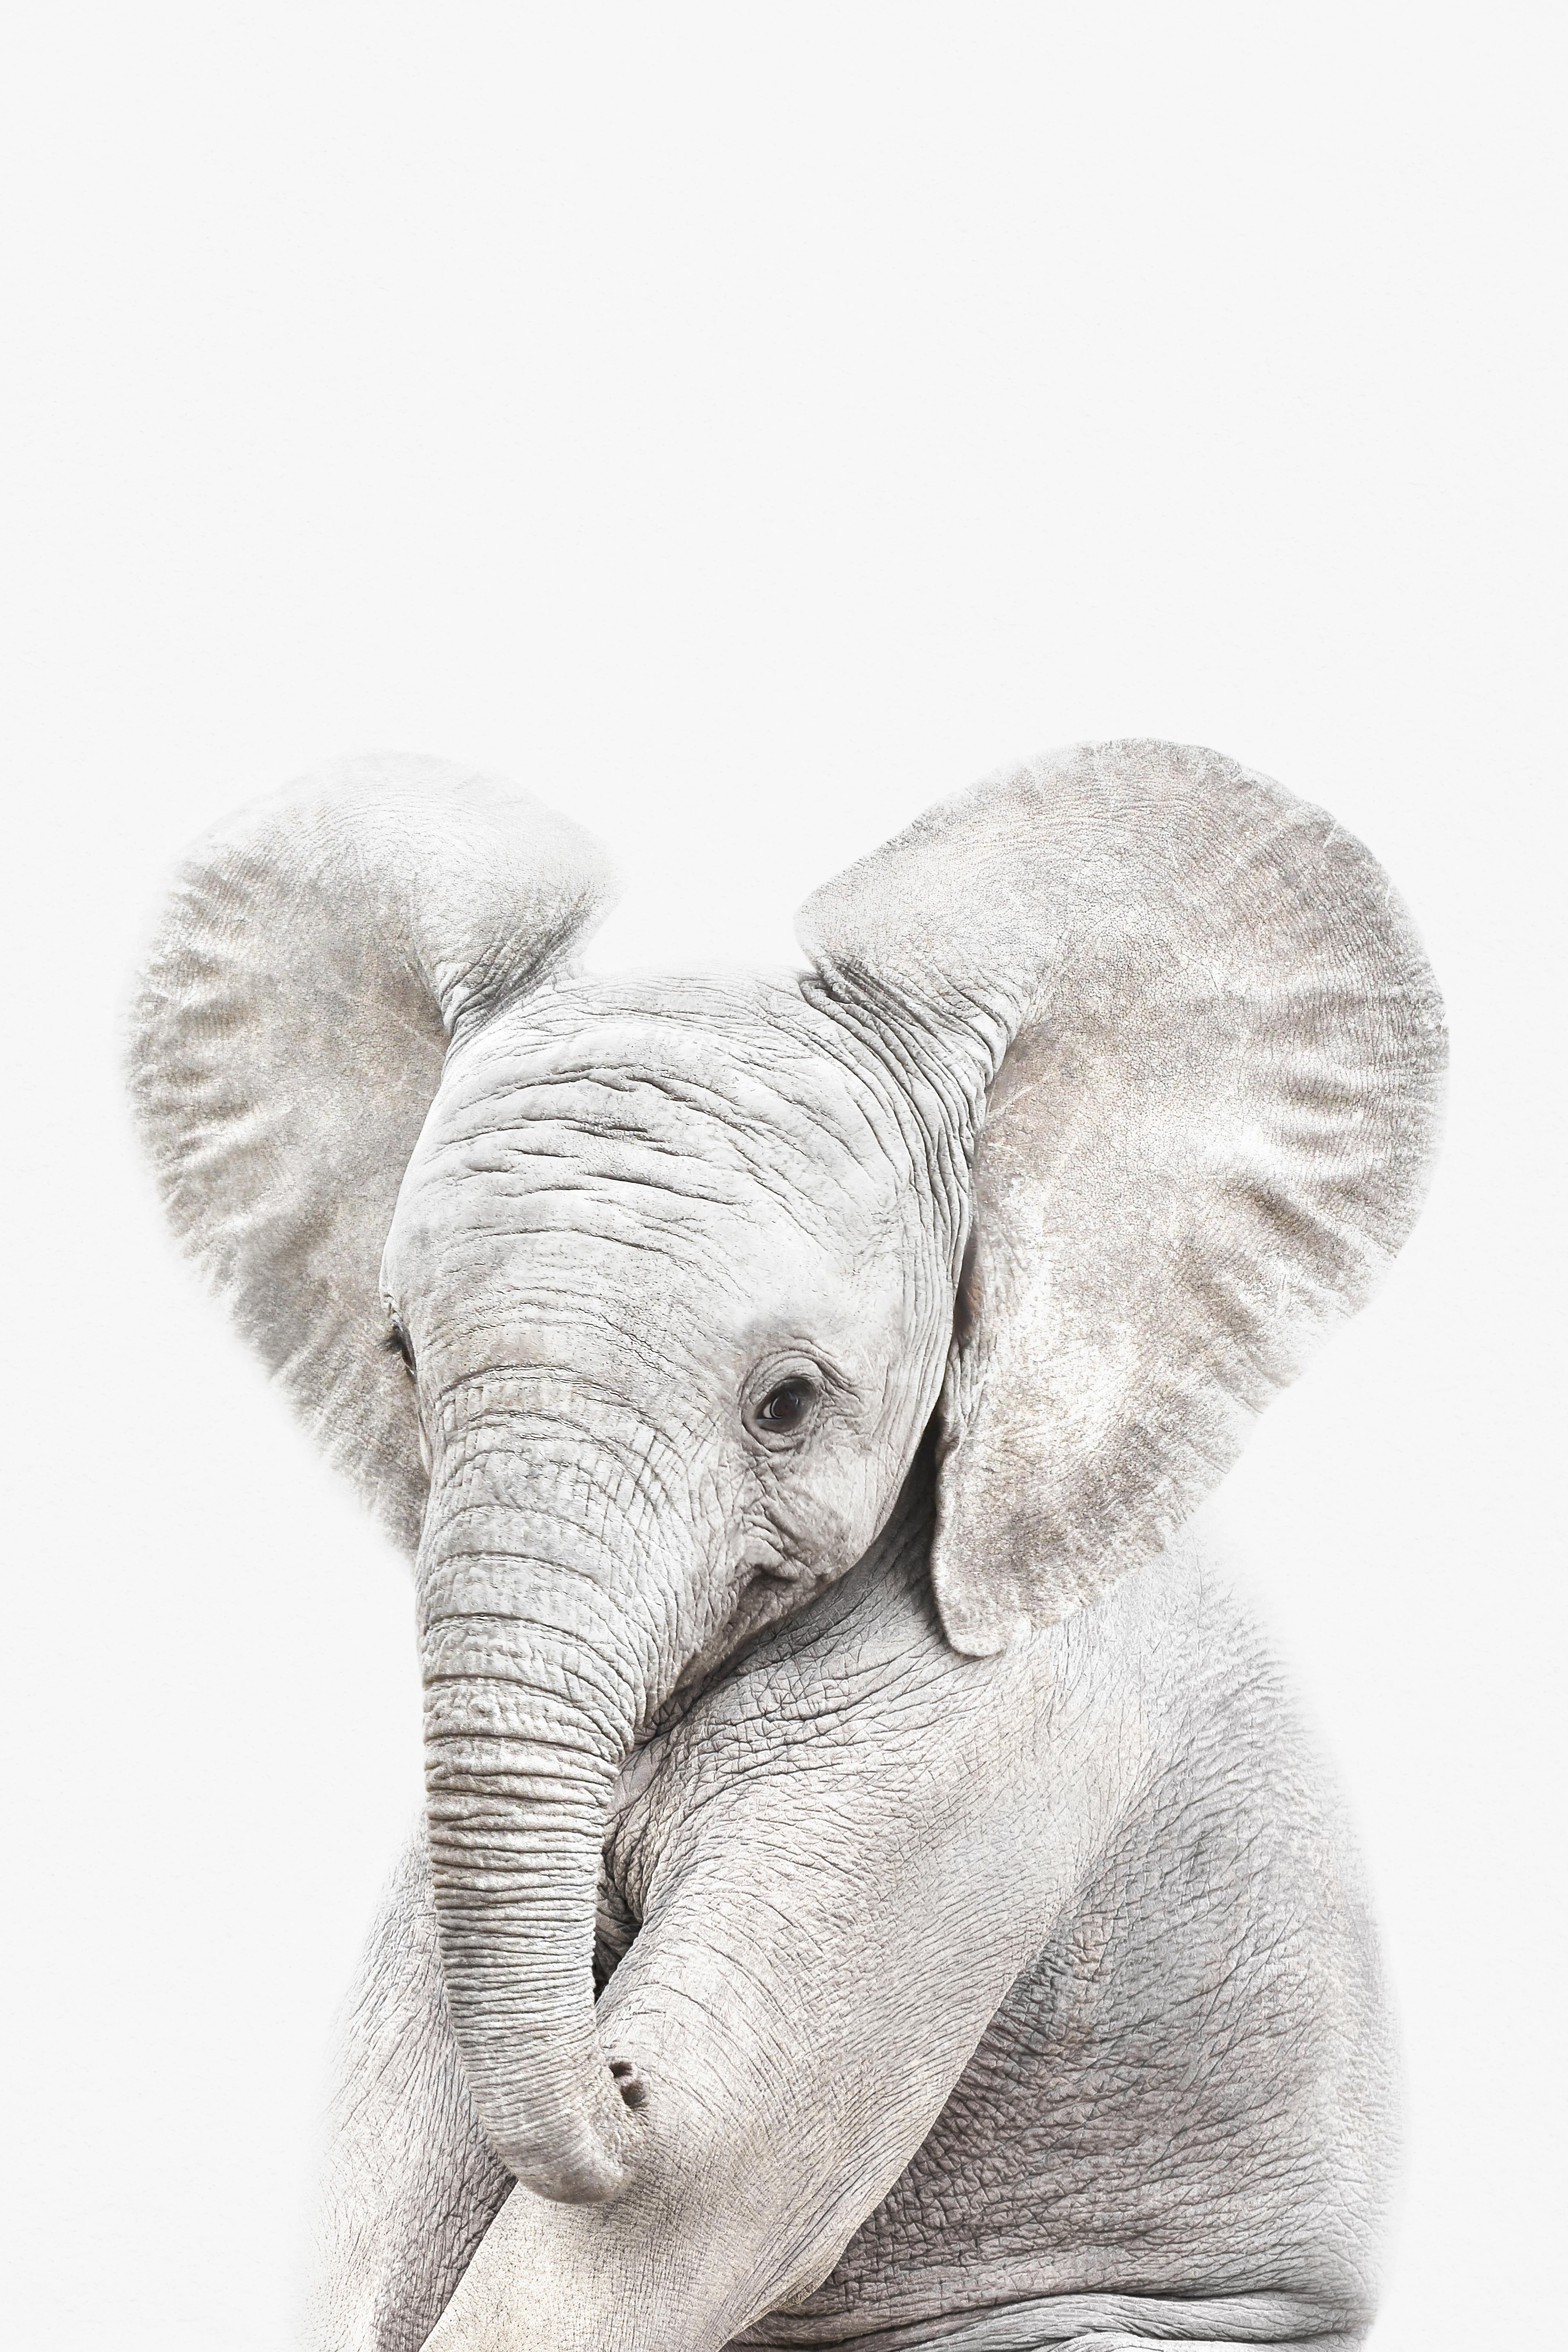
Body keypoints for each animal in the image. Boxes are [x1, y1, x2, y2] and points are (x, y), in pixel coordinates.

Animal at [129, 740, 1444, 2350]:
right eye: (403, 1357)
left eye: (788, 1404)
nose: (618, 2063)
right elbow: (382, 2183)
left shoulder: (983, 1768)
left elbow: (701, 2196)